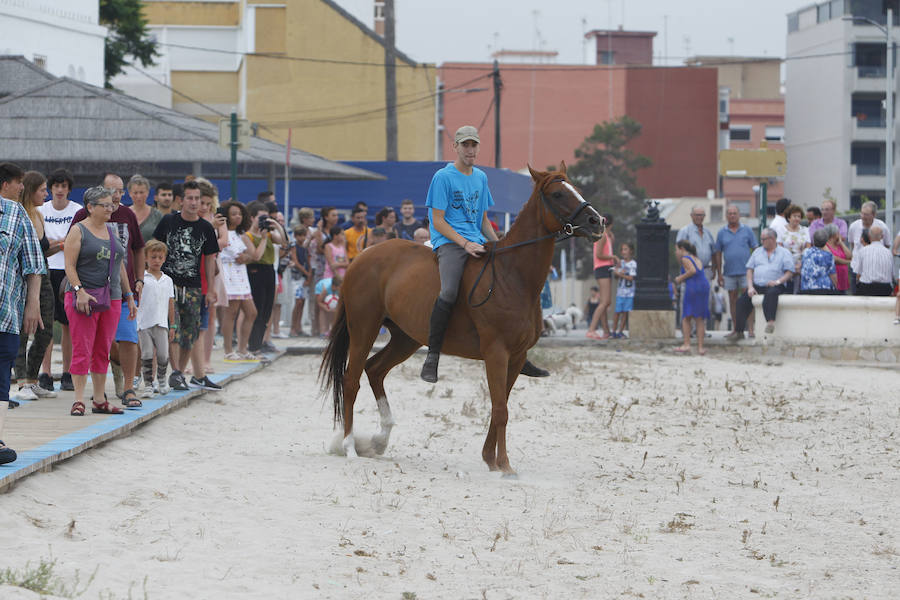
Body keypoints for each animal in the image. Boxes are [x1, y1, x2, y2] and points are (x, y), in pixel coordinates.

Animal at [320, 163, 600, 474]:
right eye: (558, 194)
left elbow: (500, 404)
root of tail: (362, 257)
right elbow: (501, 409)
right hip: (364, 329)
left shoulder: (516, 357)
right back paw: (349, 447)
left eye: (576, 189)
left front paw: (491, 459)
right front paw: (505, 466)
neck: (512, 275)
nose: (597, 221)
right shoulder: (496, 352)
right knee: (351, 380)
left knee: (375, 370)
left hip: (406, 338)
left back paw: (380, 440)